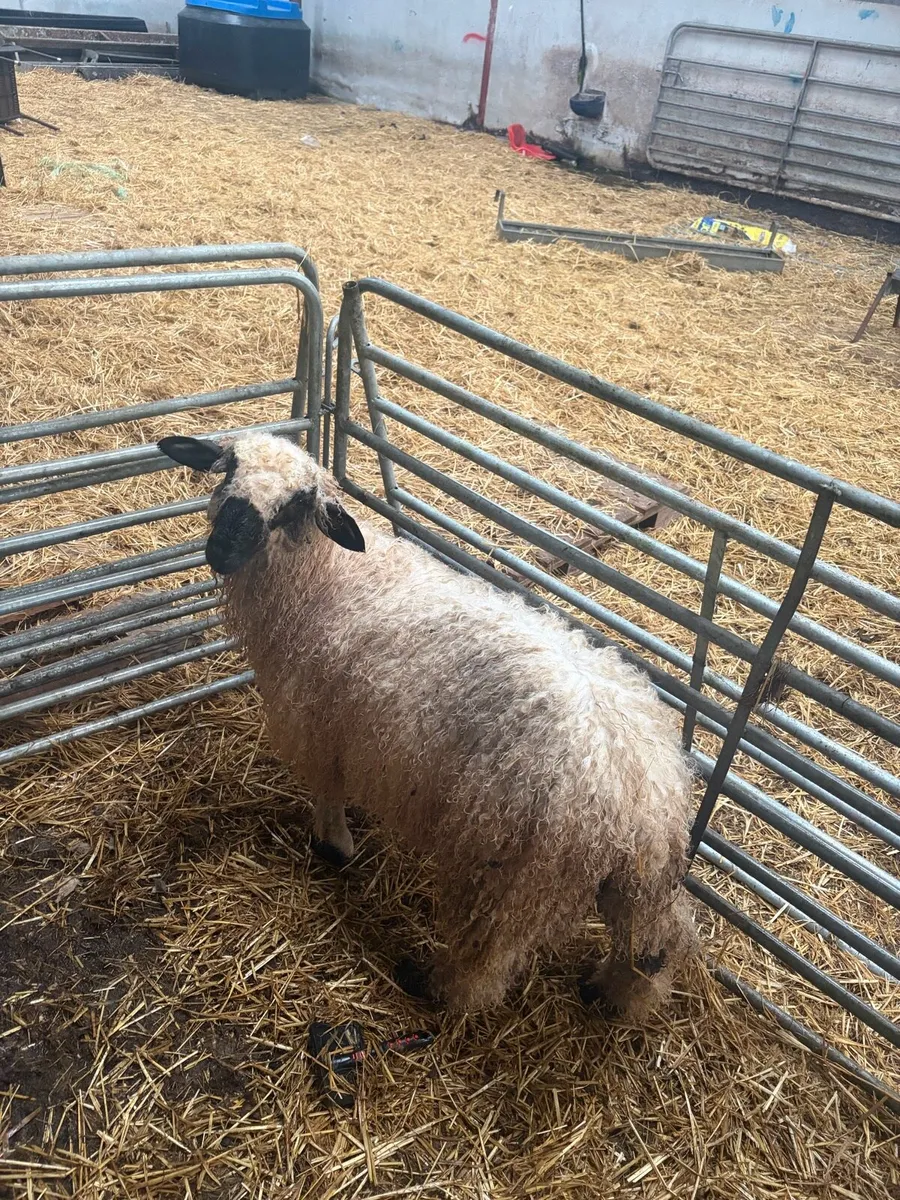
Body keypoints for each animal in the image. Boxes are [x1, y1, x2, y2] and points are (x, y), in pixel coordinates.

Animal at [158, 430, 698, 1017]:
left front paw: (333, 844)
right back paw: (613, 995)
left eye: (298, 503)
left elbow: (327, 787)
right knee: (657, 944)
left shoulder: (321, 722)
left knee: (486, 962)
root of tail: (643, 797)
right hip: (639, 881)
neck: (324, 578)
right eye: (227, 467)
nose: (223, 547)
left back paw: (434, 985)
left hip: (512, 873)